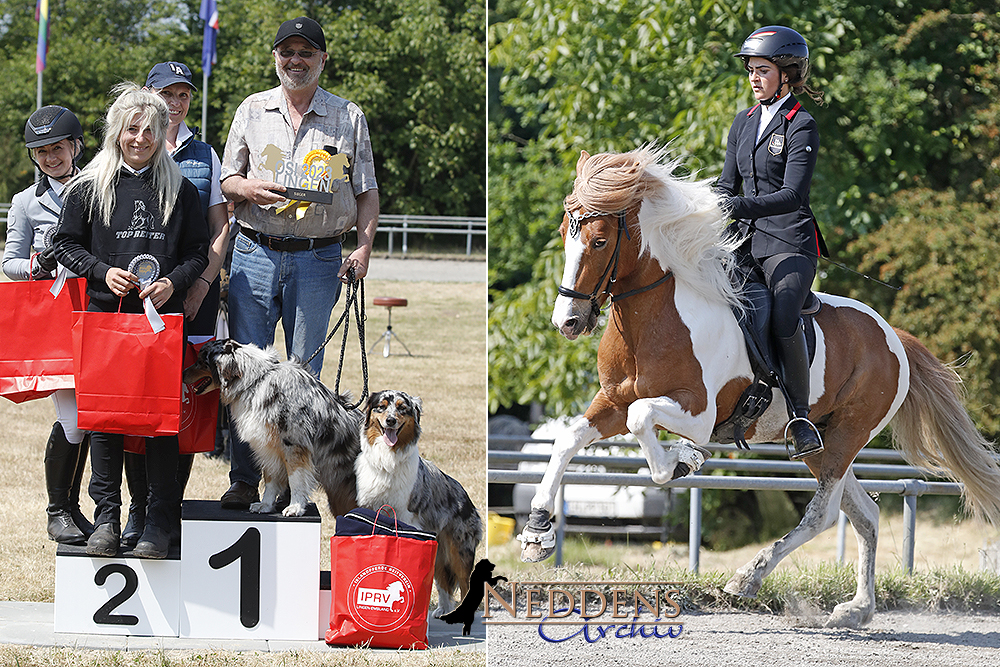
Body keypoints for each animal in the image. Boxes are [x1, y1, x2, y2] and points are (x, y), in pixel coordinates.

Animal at [520, 144, 1000, 628]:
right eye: (564, 234)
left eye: (600, 240)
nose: (567, 322)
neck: (655, 314)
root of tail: (893, 335)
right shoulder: (612, 402)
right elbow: (567, 439)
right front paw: (537, 531)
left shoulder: (697, 412)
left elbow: (644, 423)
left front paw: (681, 462)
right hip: (825, 441)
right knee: (863, 513)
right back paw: (856, 610)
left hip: (849, 432)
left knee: (823, 514)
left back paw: (748, 577)